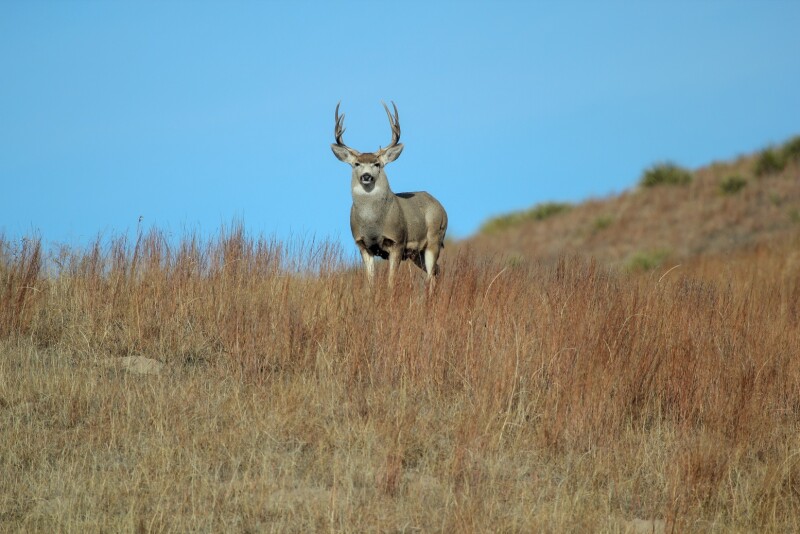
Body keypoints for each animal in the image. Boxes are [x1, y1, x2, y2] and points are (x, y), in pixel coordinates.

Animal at [331, 101, 448, 290]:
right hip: (417, 254)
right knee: (437, 270)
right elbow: (369, 282)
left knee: (431, 274)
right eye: (357, 164)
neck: (373, 225)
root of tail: (441, 207)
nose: (366, 176)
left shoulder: (397, 242)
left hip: (434, 239)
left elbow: (391, 281)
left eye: (377, 164)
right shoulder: (362, 245)